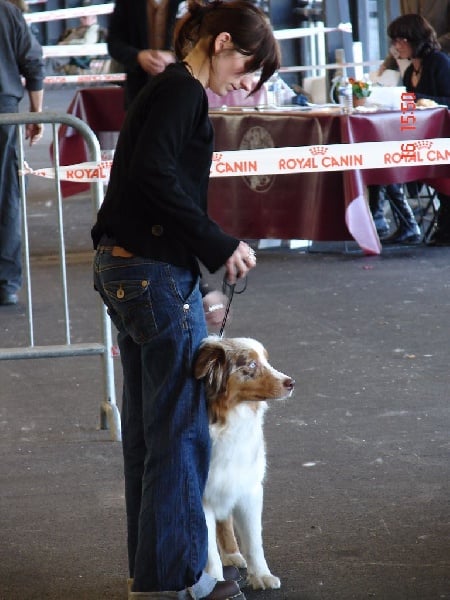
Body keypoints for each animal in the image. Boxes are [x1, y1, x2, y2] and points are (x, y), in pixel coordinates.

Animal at [194, 336, 295, 590]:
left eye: (266, 360)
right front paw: (215, 582)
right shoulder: (200, 493)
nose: (291, 383)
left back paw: (231, 554)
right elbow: (209, 551)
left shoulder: (248, 488)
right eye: (250, 364)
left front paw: (261, 576)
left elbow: (253, 541)